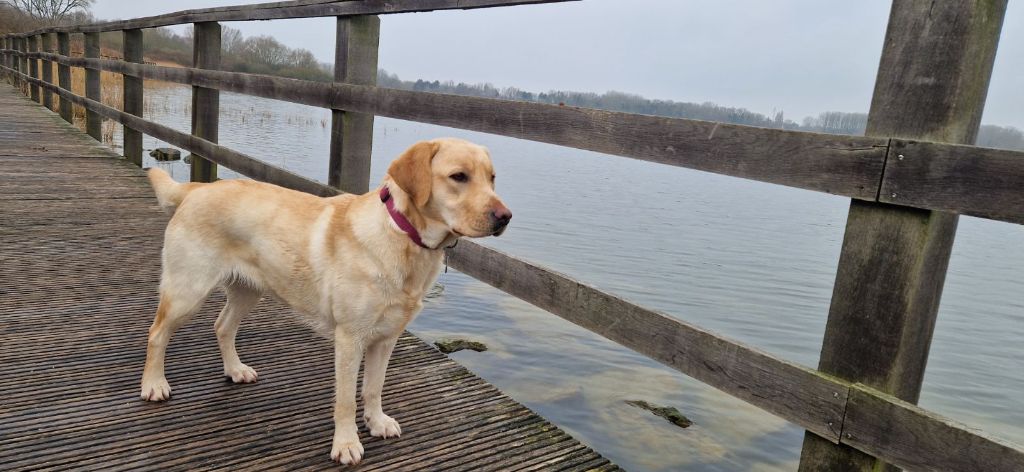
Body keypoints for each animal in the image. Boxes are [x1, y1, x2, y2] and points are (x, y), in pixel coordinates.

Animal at [142, 137, 509, 462]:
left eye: (492, 178)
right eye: (459, 176)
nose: (505, 217)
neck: (403, 238)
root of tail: (196, 189)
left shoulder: (386, 338)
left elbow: (373, 387)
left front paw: (376, 422)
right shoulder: (350, 338)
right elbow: (346, 399)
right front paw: (346, 445)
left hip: (249, 290)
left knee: (222, 326)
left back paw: (235, 370)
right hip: (188, 290)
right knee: (157, 334)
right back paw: (154, 385)